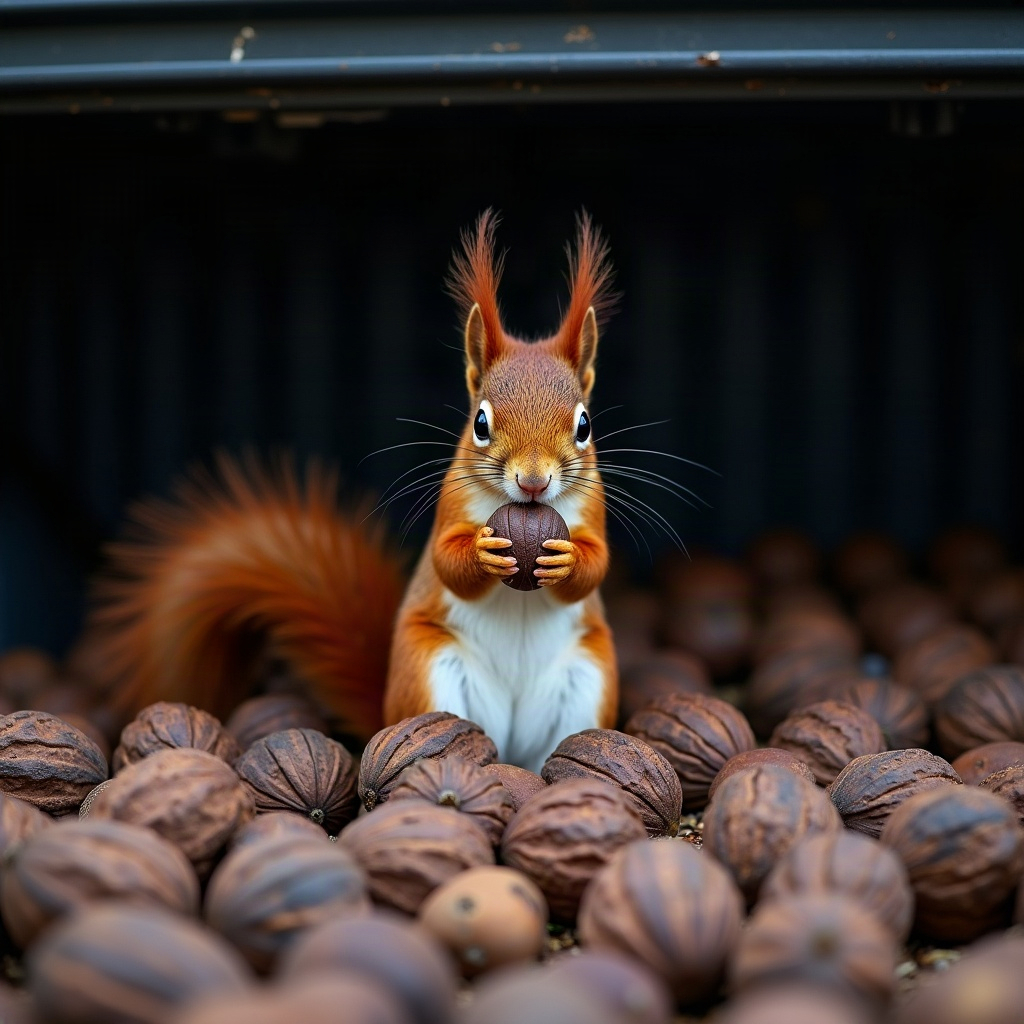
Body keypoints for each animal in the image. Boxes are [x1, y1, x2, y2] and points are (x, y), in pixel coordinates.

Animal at [84, 211, 617, 771]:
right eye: (480, 423)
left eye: (584, 425)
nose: (533, 481)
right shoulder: (451, 502)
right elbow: (447, 561)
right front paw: (482, 550)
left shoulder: (593, 505)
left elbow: (596, 562)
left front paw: (565, 560)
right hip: (429, 669)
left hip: (589, 680)